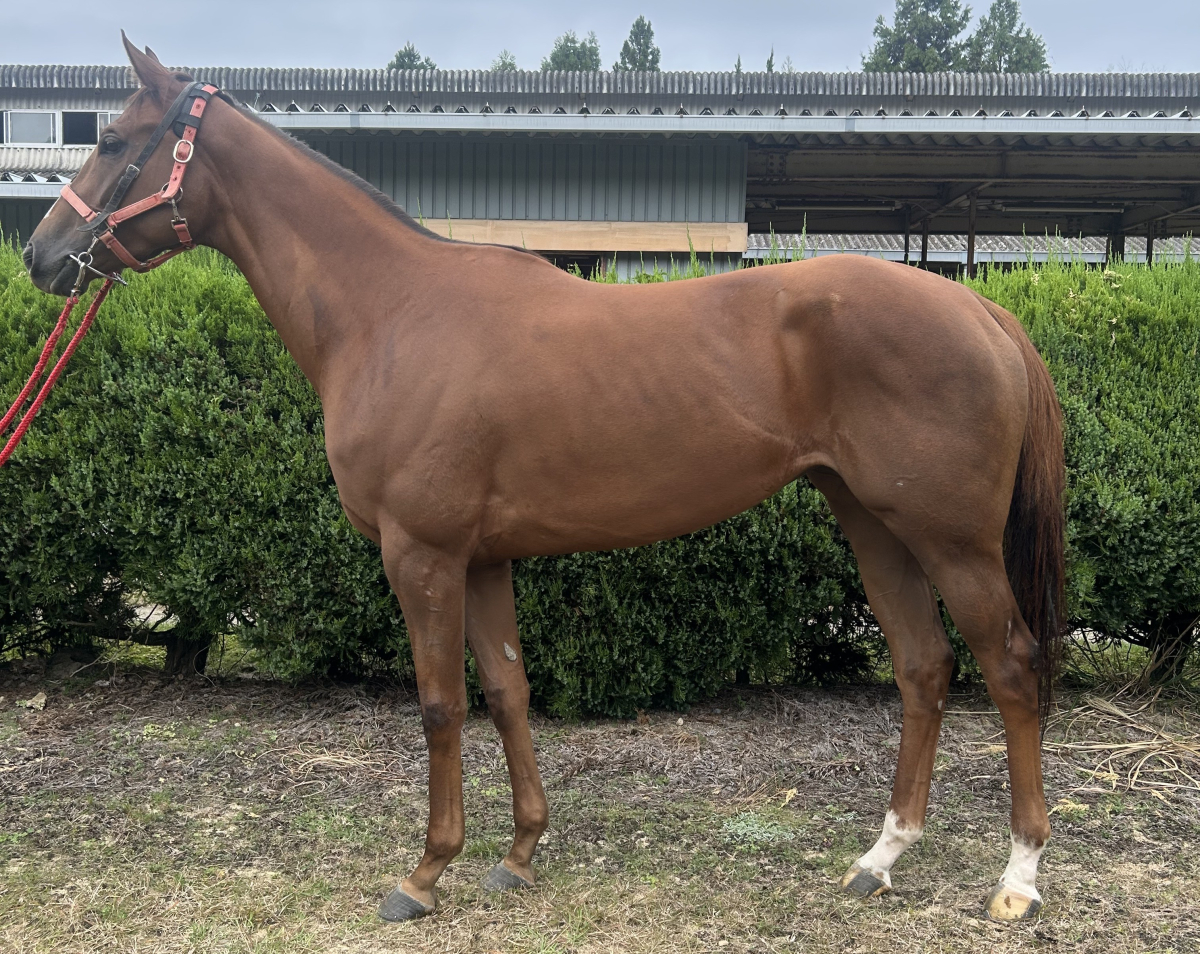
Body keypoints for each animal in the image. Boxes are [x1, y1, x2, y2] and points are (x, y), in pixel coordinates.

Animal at [24, 36, 1065, 923]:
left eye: (112, 141)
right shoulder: (483, 560)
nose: (41, 255)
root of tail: (978, 307)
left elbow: (442, 705)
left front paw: (425, 874)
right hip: (874, 523)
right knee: (923, 667)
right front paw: (519, 855)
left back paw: (1018, 878)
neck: (391, 312)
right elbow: (508, 691)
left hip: (952, 539)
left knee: (1011, 668)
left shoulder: (423, 557)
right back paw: (880, 859)